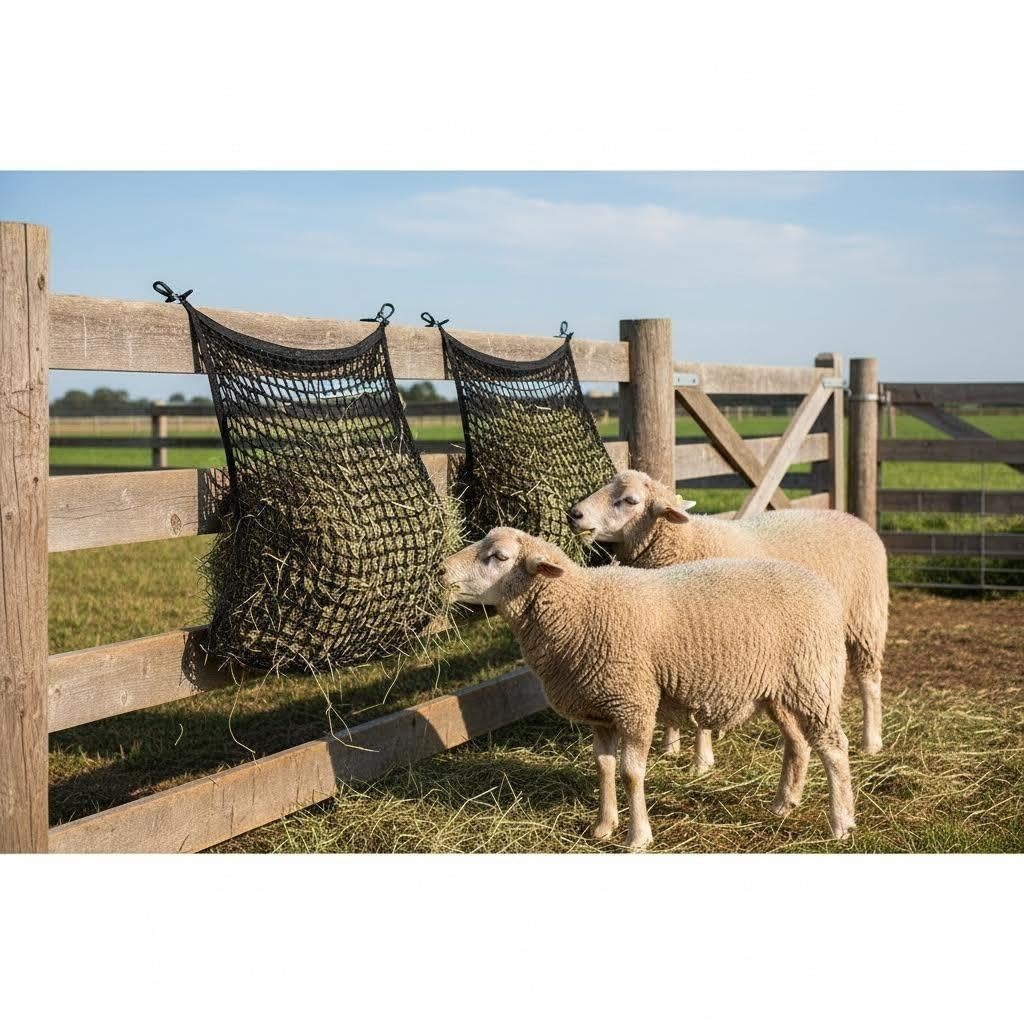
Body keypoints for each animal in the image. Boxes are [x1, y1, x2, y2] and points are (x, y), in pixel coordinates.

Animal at [444, 526, 856, 850]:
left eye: (498, 557)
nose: (442, 570)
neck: (578, 608)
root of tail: (824, 589)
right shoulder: (601, 711)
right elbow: (604, 767)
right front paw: (602, 827)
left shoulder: (634, 703)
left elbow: (630, 773)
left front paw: (637, 837)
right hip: (781, 690)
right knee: (798, 743)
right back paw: (784, 803)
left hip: (813, 679)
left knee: (834, 748)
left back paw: (841, 822)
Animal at [568, 470, 889, 773]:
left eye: (630, 500)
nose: (574, 513)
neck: (687, 541)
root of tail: (854, 518)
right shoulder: (672, 636)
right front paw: (670, 746)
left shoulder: (708, 643)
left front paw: (701, 761)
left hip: (866, 618)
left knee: (869, 681)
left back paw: (871, 741)